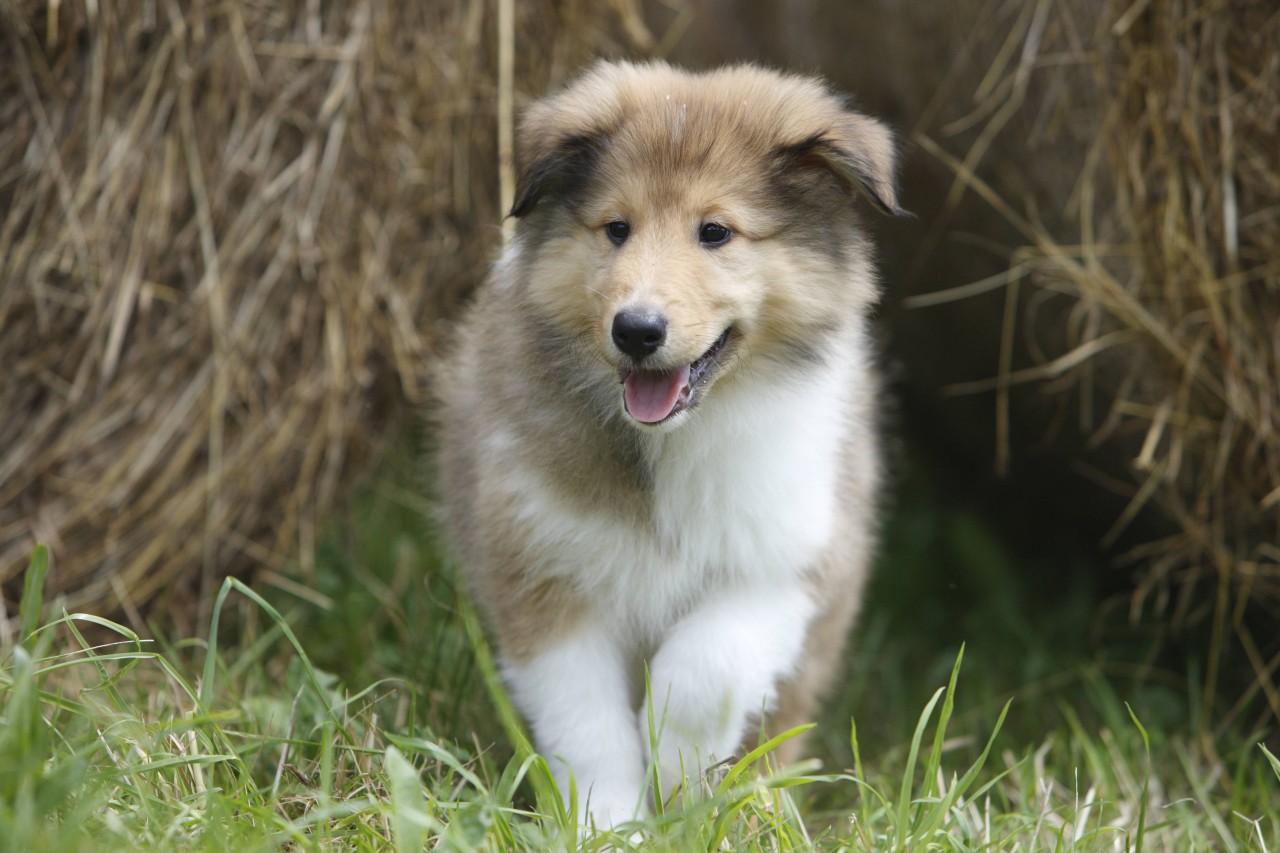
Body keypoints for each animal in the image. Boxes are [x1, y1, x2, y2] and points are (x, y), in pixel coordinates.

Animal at [435, 58, 906, 824]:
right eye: (616, 228)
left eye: (714, 232)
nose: (636, 329)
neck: (673, 440)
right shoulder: (539, 570)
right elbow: (588, 725)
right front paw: (610, 824)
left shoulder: (789, 558)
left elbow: (703, 669)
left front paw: (681, 775)